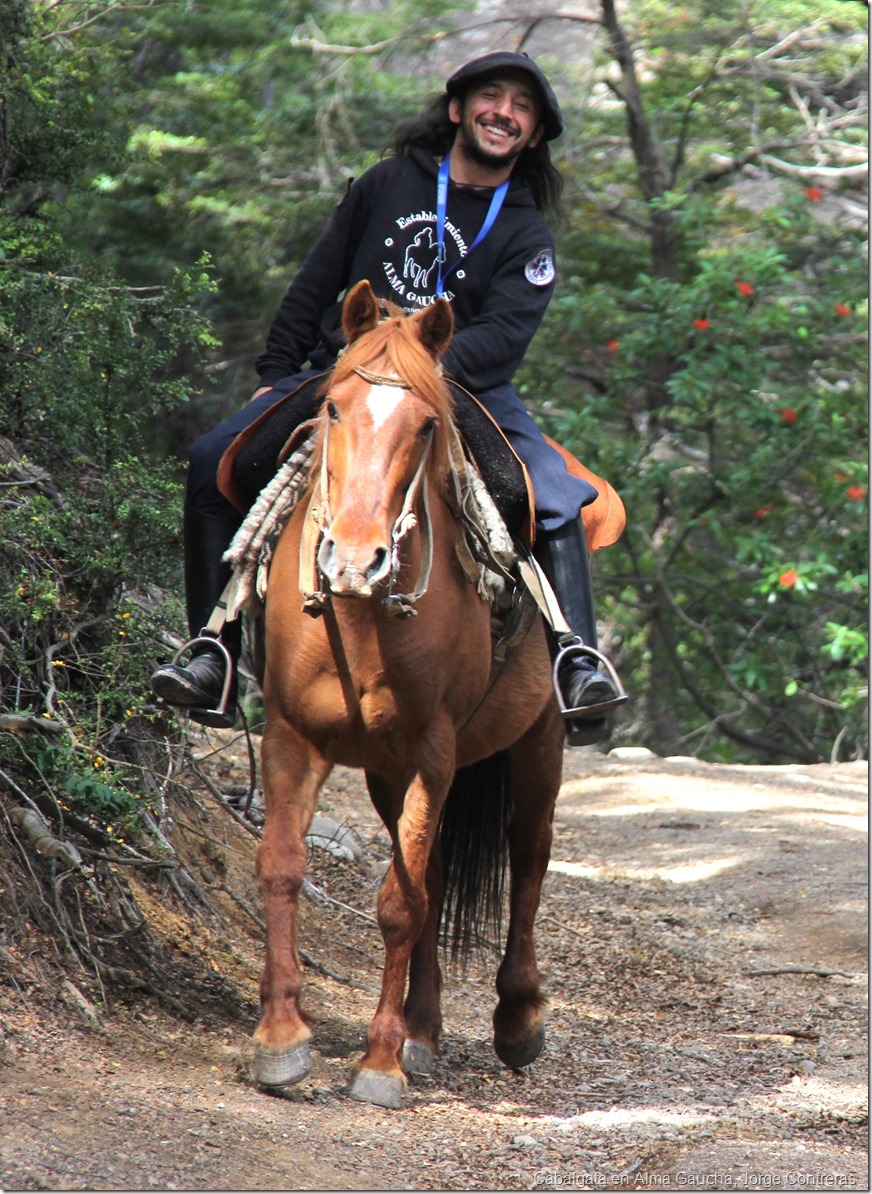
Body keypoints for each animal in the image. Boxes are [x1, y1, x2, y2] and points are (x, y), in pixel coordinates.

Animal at [250, 281, 563, 1108]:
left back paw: (516, 1018)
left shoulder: (433, 749)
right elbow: (283, 865)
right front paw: (281, 1040)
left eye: (425, 424)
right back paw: (424, 1028)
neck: (361, 621)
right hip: (389, 775)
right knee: (434, 871)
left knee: (527, 856)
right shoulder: (293, 735)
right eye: (332, 408)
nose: (357, 559)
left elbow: (399, 901)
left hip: (538, 741)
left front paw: (380, 1063)